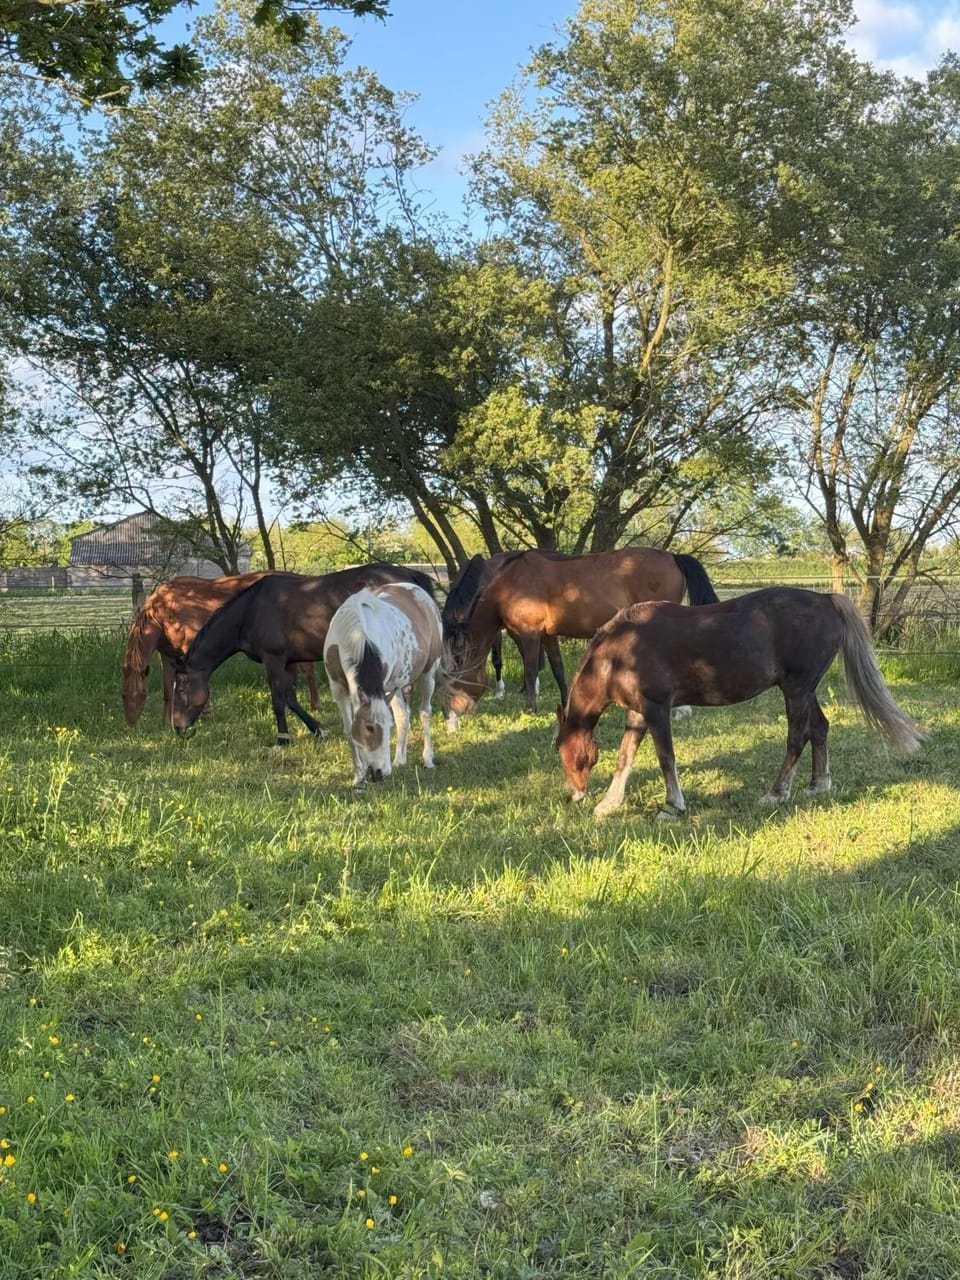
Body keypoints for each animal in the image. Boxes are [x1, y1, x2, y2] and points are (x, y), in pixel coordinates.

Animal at [121, 572, 320, 727]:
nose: (131, 723)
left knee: (309, 672)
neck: (164, 611)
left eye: (143, 695)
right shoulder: (168, 655)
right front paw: (165, 723)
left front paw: (207, 717)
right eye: (123, 696)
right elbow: (168, 691)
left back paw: (315, 706)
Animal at [169, 564, 437, 745]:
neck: (250, 611)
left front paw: (282, 738)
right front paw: (318, 730)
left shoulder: (273, 659)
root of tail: (410, 576)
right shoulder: (289, 661)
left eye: (181, 690)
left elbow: (278, 699)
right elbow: (290, 698)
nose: (177, 728)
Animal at [324, 582, 446, 785]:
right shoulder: (338, 689)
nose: (381, 772)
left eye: (387, 728)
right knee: (403, 715)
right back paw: (399, 760)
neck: (355, 635)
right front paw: (359, 775)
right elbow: (349, 731)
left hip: (428, 673)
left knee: (424, 712)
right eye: (369, 727)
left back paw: (427, 759)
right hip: (397, 685)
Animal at [443, 547, 719, 717]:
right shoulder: (548, 635)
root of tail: (673, 556)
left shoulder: (529, 634)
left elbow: (530, 671)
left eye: (456, 672)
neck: (508, 585)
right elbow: (558, 669)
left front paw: (530, 708)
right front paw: (566, 704)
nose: (456, 709)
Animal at [555, 587, 924, 819]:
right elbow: (625, 756)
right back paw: (818, 785)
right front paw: (609, 803)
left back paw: (777, 793)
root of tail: (825, 598)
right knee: (820, 728)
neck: (621, 651)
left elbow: (666, 759)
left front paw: (672, 806)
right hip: (806, 689)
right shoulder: (638, 711)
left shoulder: (657, 708)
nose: (575, 795)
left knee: (797, 738)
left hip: (796, 690)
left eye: (568, 755)